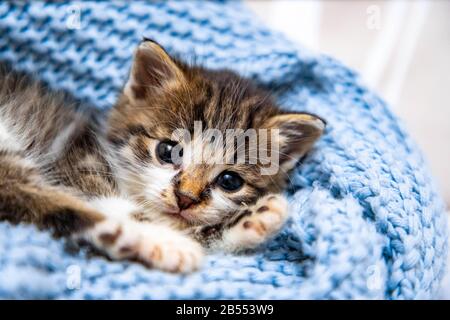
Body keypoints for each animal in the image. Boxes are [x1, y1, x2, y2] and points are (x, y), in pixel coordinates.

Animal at [0, 38, 326, 272]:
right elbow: (127, 209)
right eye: (168, 151)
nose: (185, 198)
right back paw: (161, 243)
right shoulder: (74, 164)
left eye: (230, 181)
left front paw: (250, 221)